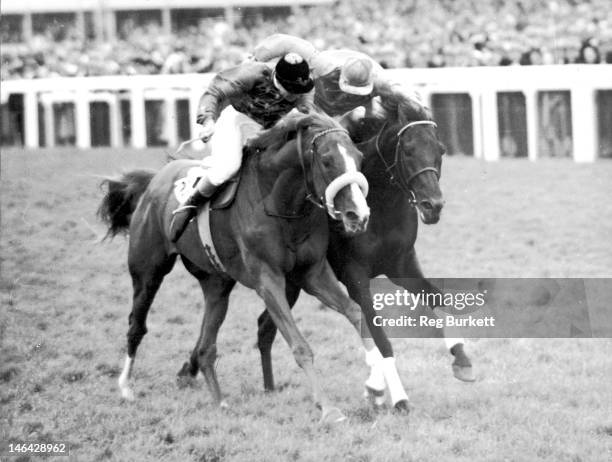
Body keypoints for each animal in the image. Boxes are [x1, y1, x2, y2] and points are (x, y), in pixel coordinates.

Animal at [97, 112, 376, 422]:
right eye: (327, 160)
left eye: (359, 158)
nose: (358, 215)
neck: (279, 204)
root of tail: (153, 180)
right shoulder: (268, 279)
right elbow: (300, 345)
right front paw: (328, 408)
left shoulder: (312, 273)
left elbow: (357, 313)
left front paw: (379, 383)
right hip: (147, 272)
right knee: (136, 325)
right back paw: (125, 386)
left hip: (216, 284)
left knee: (206, 346)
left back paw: (219, 401)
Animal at [253, 98, 474, 412]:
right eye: (408, 150)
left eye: (440, 150)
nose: (434, 205)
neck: (381, 206)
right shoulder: (354, 276)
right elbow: (379, 335)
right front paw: (393, 395)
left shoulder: (402, 265)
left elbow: (437, 298)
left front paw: (462, 358)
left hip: (293, 282)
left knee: (264, 327)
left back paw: (269, 387)